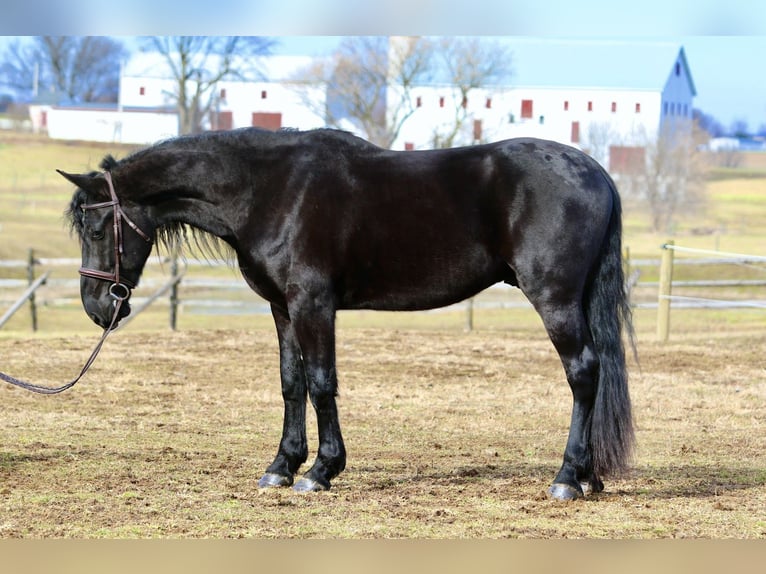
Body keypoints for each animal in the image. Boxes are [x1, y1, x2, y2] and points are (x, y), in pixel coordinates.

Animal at [60, 127, 634, 500]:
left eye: (96, 228)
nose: (96, 308)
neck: (270, 189)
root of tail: (597, 172)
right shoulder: (282, 307)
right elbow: (291, 384)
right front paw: (281, 467)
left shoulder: (313, 302)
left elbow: (321, 383)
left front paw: (321, 471)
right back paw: (589, 477)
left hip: (554, 298)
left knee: (583, 373)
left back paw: (567, 478)